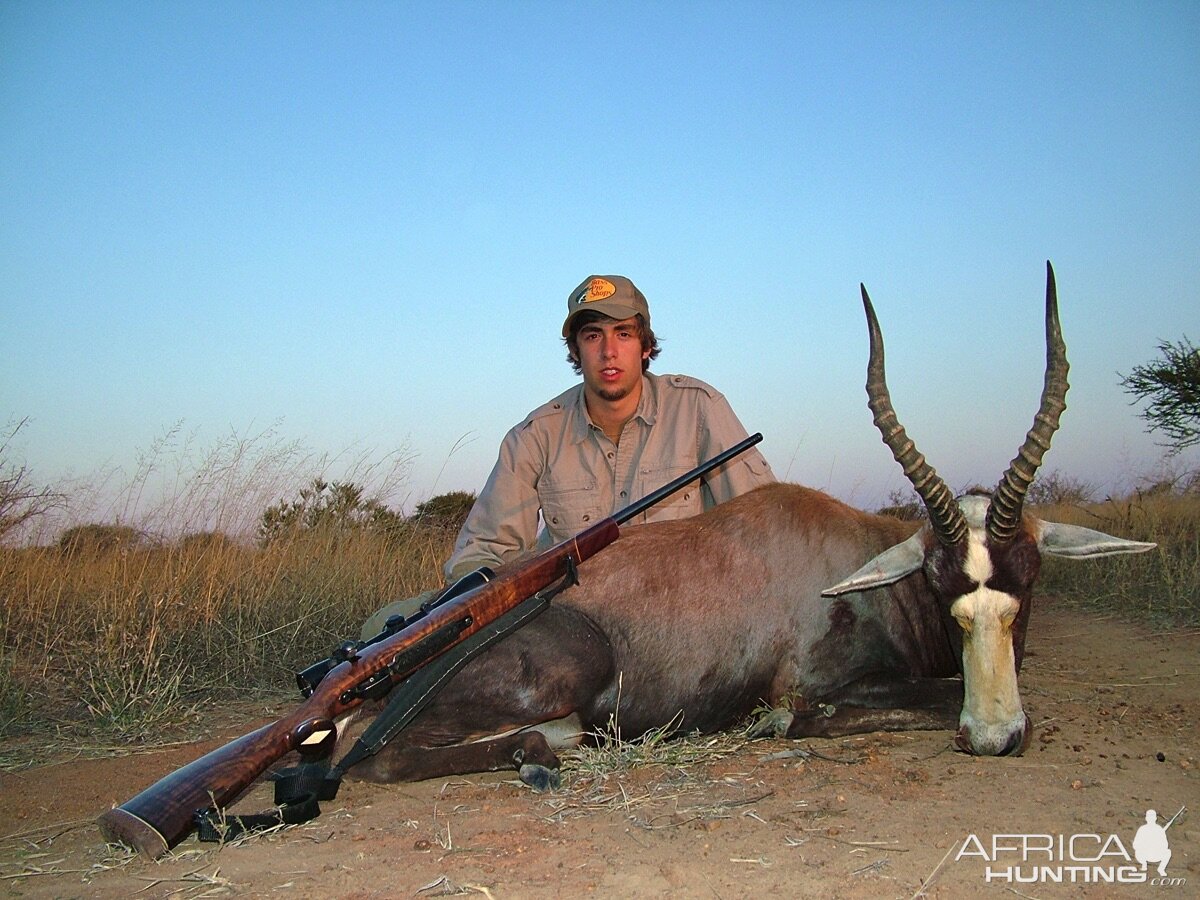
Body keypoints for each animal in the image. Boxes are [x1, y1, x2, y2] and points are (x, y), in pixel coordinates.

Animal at [338, 260, 1152, 787]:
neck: (852, 571)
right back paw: (540, 754)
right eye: (942, 583)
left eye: (1029, 581)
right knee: (380, 755)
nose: (994, 737)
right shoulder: (812, 689)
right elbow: (891, 701)